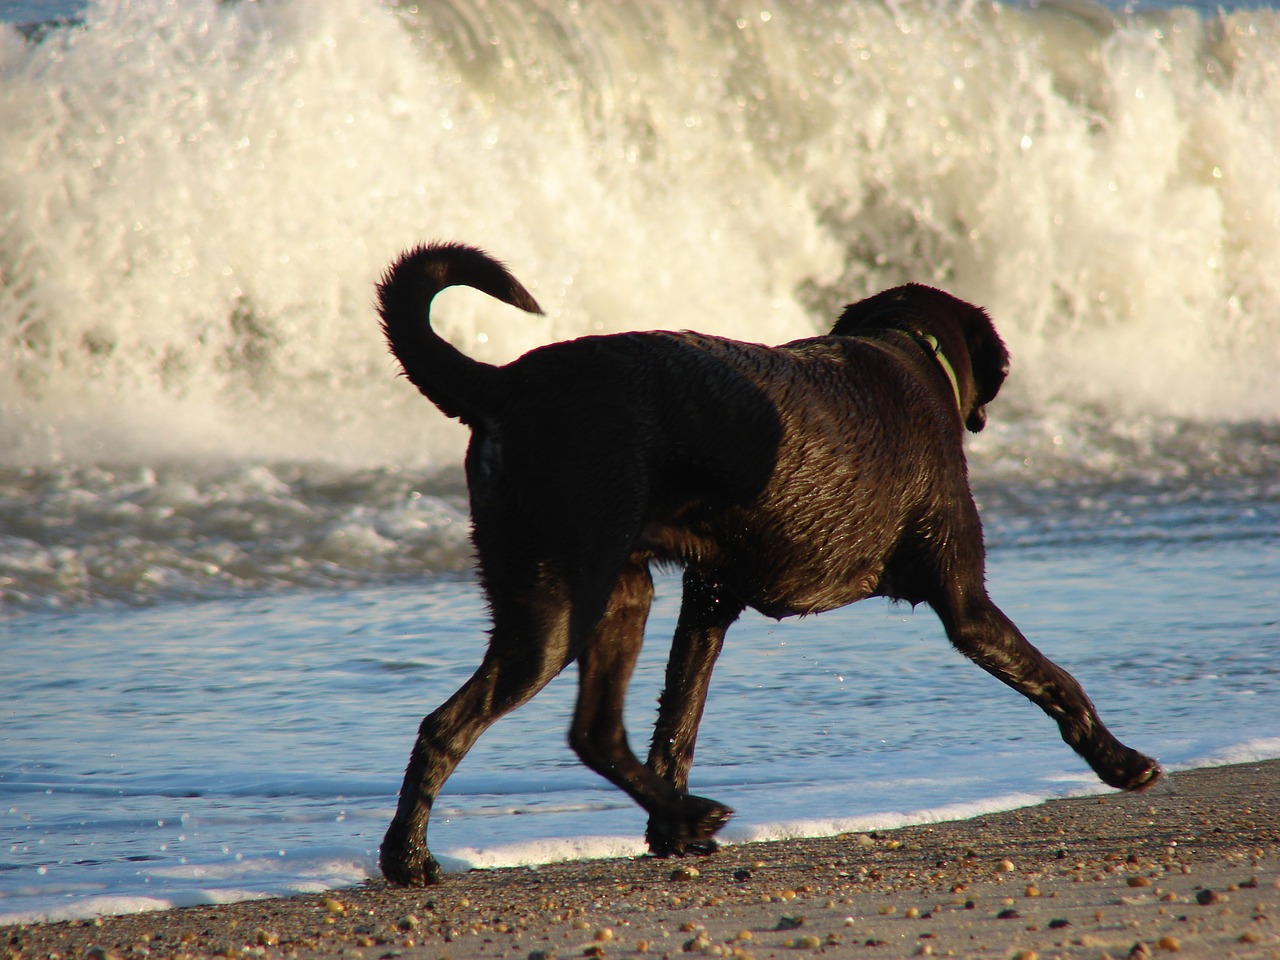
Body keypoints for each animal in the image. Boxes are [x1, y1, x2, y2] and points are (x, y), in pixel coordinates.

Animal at [371, 244, 1162, 890]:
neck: (905, 350)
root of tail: (502, 385)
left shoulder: (708, 603)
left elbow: (678, 722)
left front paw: (666, 836)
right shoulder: (965, 603)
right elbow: (1056, 680)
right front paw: (1119, 761)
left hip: (620, 595)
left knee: (596, 731)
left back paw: (681, 818)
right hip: (560, 604)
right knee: (452, 725)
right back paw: (410, 858)